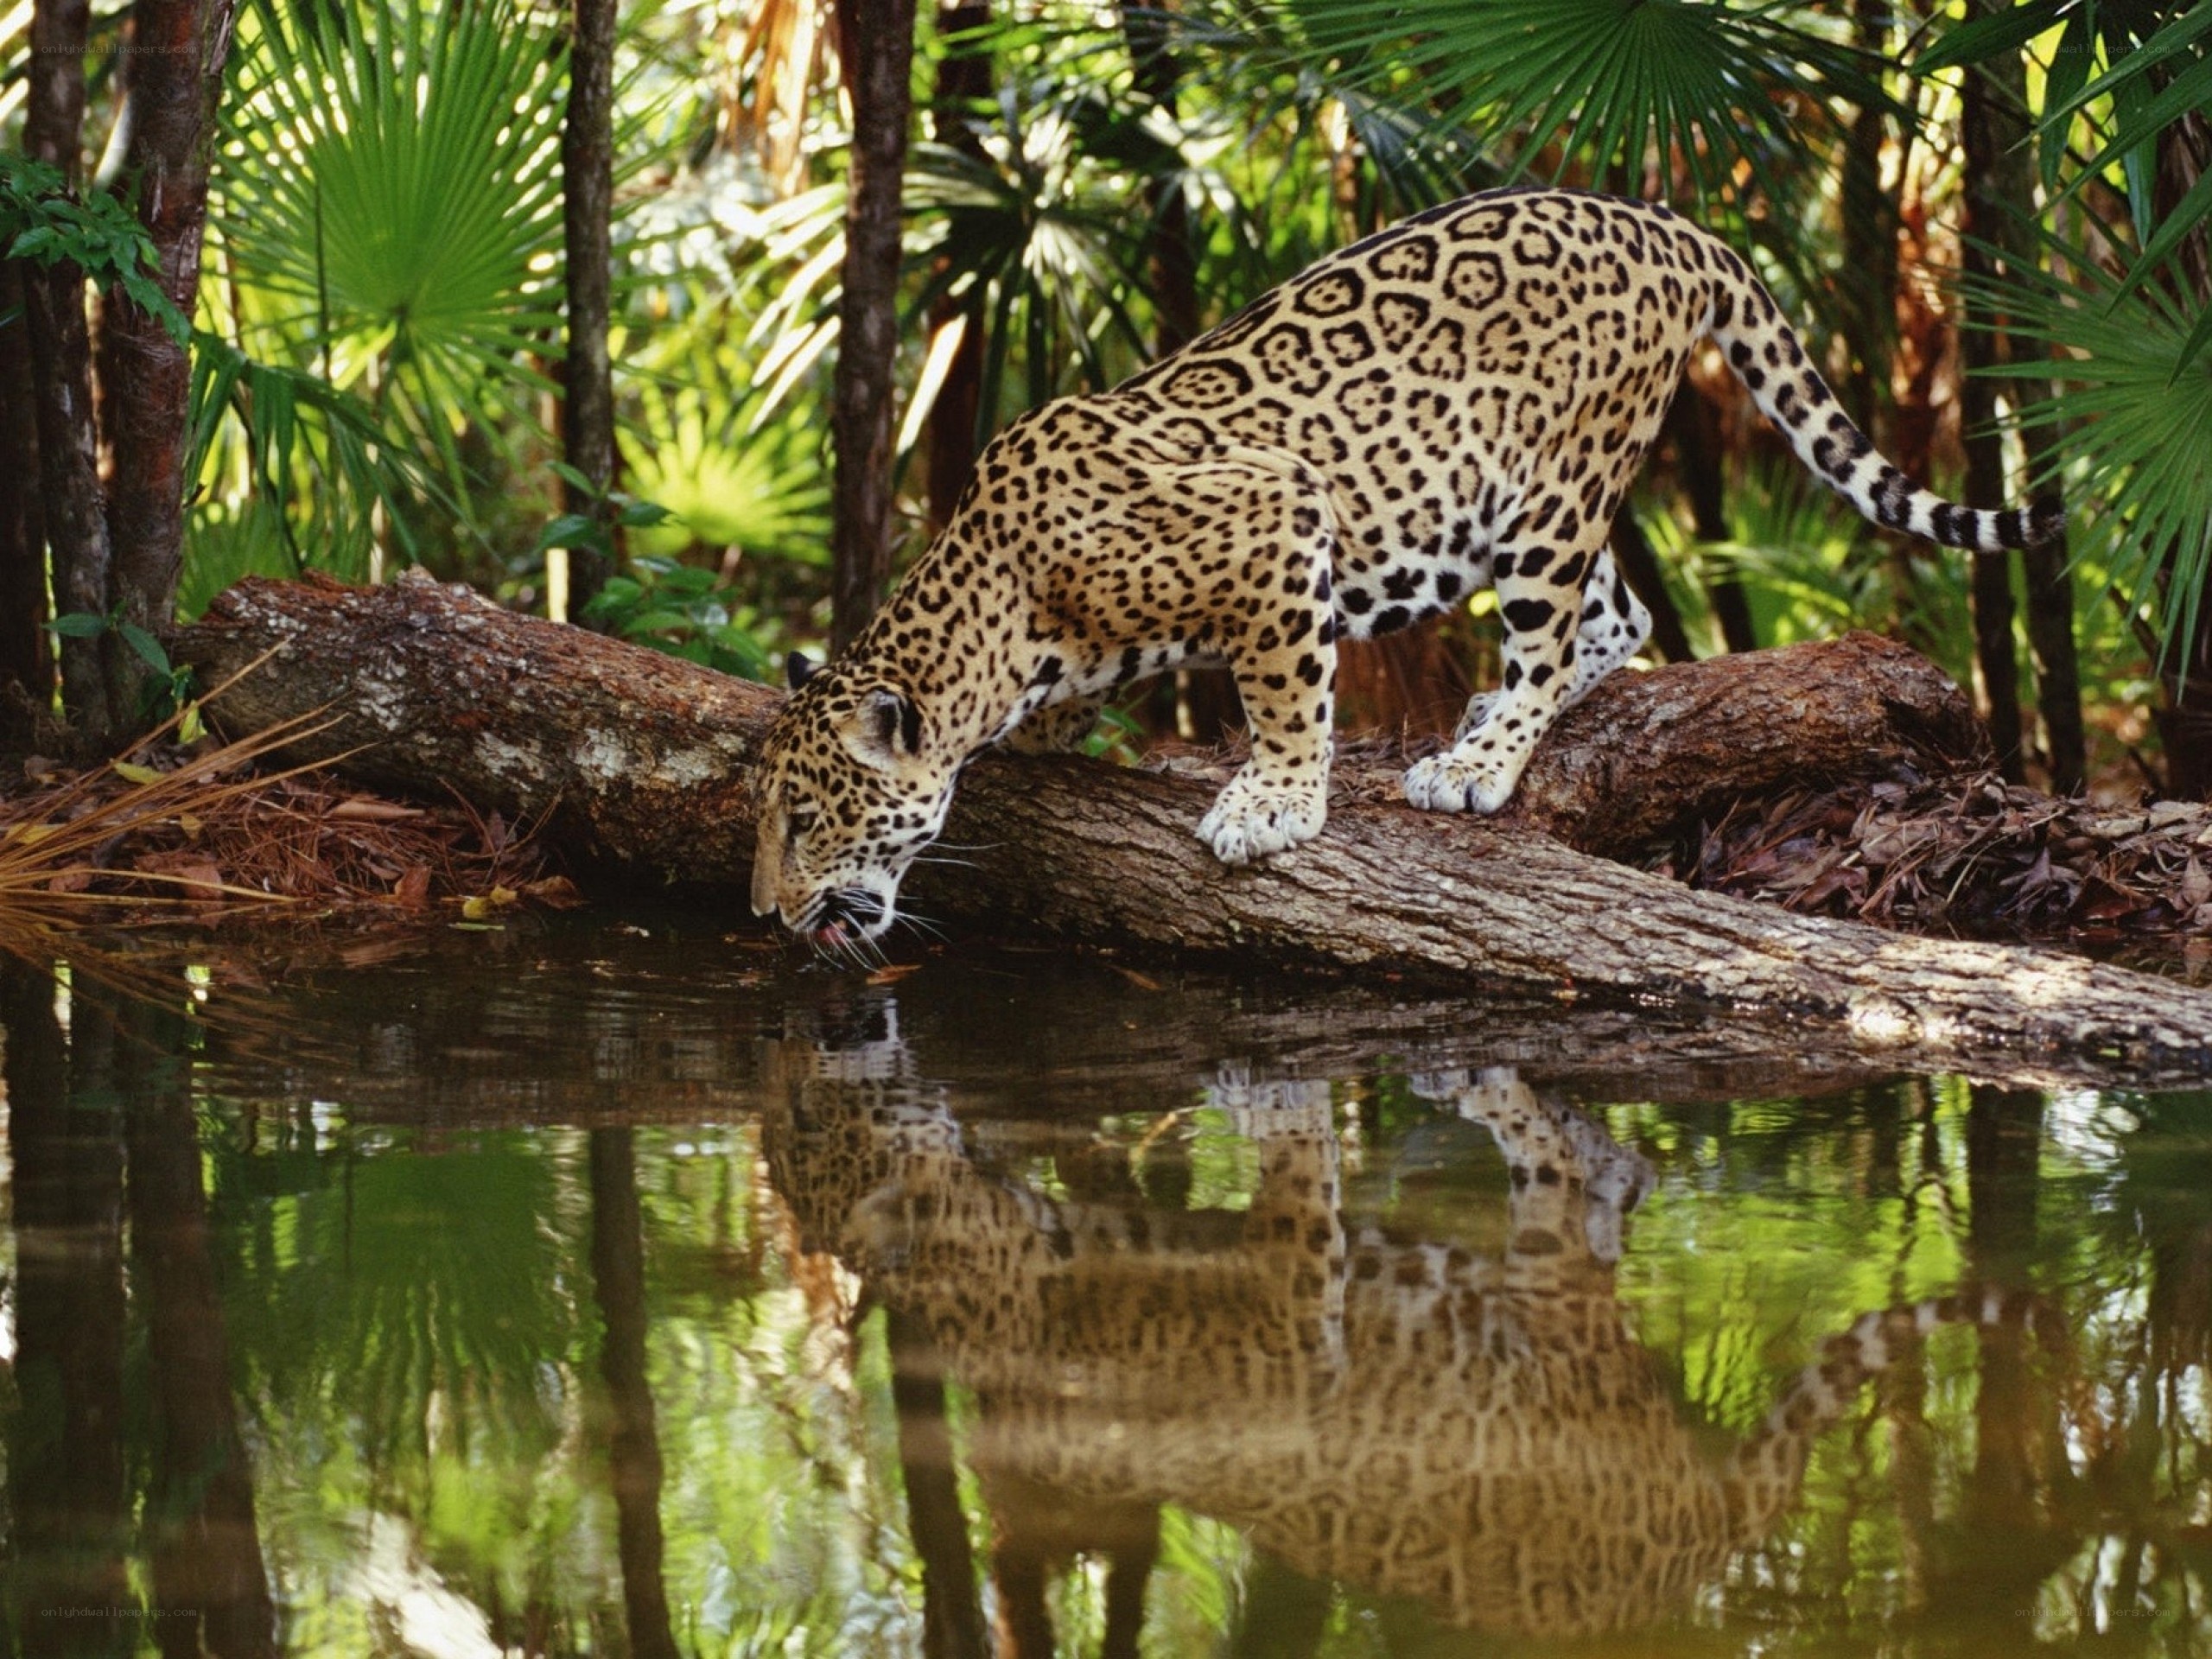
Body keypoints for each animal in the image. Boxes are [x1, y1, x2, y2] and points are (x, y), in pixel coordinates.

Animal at [749, 186, 2061, 946]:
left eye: (809, 819)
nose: (765, 912)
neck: (1000, 605)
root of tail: (1665, 221)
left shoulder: (1278, 517)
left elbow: (1284, 692)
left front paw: (1273, 802)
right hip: (1505, 504)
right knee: (1623, 613)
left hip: (1551, 490)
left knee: (1555, 629)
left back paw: (1477, 761)